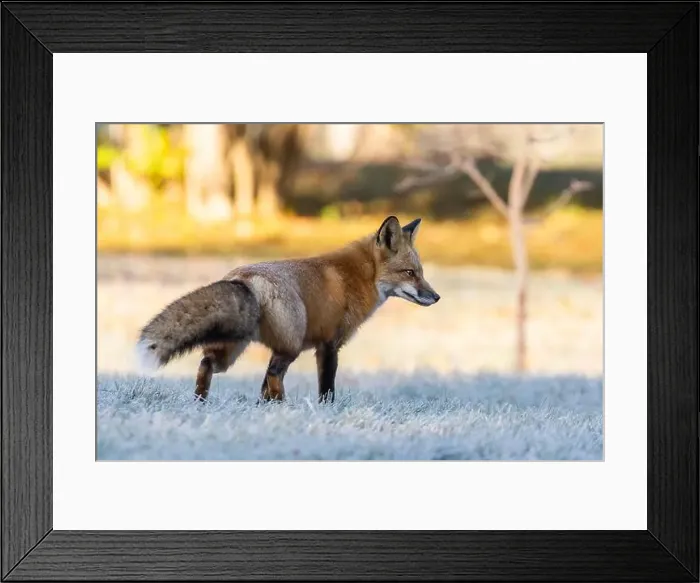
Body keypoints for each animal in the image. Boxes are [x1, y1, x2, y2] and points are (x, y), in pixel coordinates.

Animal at [136, 215, 440, 403]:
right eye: (410, 273)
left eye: (421, 273)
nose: (436, 297)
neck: (356, 277)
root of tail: (244, 277)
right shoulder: (329, 344)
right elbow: (327, 390)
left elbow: (263, 388)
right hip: (290, 345)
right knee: (273, 375)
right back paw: (283, 406)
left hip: (233, 349)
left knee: (209, 365)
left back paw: (202, 402)